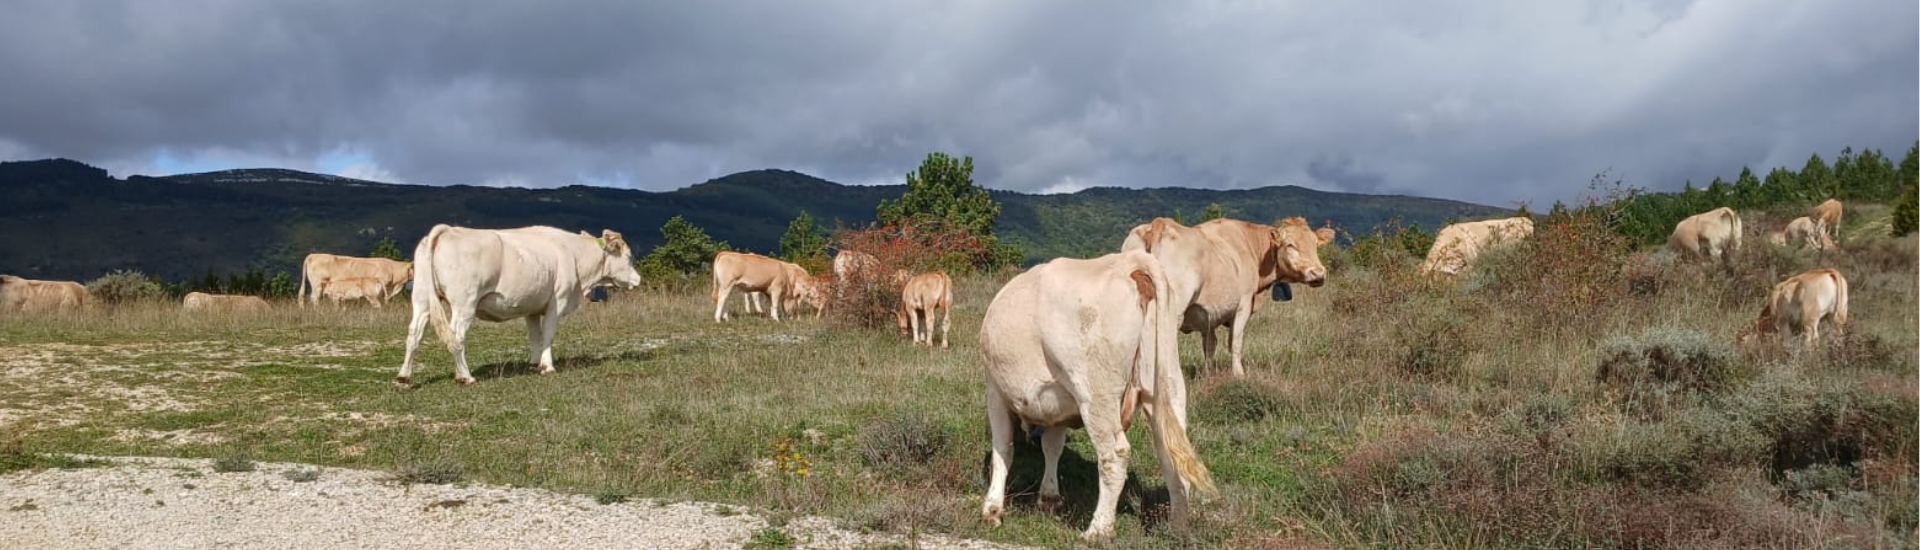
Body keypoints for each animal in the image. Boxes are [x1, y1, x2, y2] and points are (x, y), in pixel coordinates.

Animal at [396, 225, 642, 386]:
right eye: (629, 257)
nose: (638, 280)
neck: (574, 255)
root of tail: (448, 230)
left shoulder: (531, 307)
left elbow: (534, 335)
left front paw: (534, 364)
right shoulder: (557, 302)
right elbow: (548, 335)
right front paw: (547, 367)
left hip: (421, 298)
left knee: (414, 334)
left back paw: (404, 377)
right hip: (464, 303)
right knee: (455, 337)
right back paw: (464, 376)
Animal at [979, 250, 1217, 541]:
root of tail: (1131, 261)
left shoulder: (995, 391)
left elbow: (1003, 449)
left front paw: (992, 509)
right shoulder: (1057, 407)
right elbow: (1052, 446)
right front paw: (1049, 498)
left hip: (1095, 393)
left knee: (1114, 454)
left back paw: (1098, 529)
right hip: (1167, 382)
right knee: (1171, 450)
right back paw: (1177, 526)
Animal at [1121, 217, 1331, 377]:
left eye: (1315, 244)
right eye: (1289, 245)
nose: (1318, 273)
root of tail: (1158, 224)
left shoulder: (1207, 316)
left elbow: (1209, 346)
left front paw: (1208, 374)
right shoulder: (1243, 304)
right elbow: (1235, 342)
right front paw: (1239, 374)